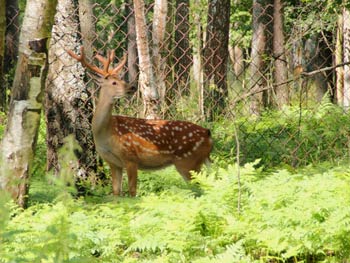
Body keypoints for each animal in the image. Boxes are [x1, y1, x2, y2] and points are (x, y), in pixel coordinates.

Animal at [67, 47, 212, 196]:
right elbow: (116, 192)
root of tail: (208, 134)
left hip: (188, 161)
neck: (106, 133)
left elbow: (132, 192)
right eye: (114, 82)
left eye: (120, 79)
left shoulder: (131, 157)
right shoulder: (113, 163)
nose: (132, 87)